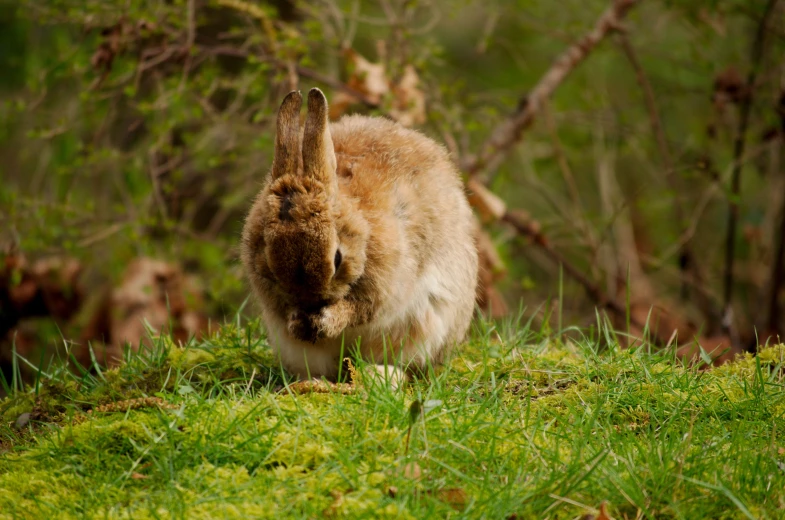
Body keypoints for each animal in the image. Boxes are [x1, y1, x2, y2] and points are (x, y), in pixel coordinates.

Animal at [239, 88, 478, 382]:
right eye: (271, 265)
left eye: (337, 258)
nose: (312, 304)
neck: (360, 227)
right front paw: (298, 324)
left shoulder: (384, 285)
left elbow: (361, 309)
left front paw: (326, 322)